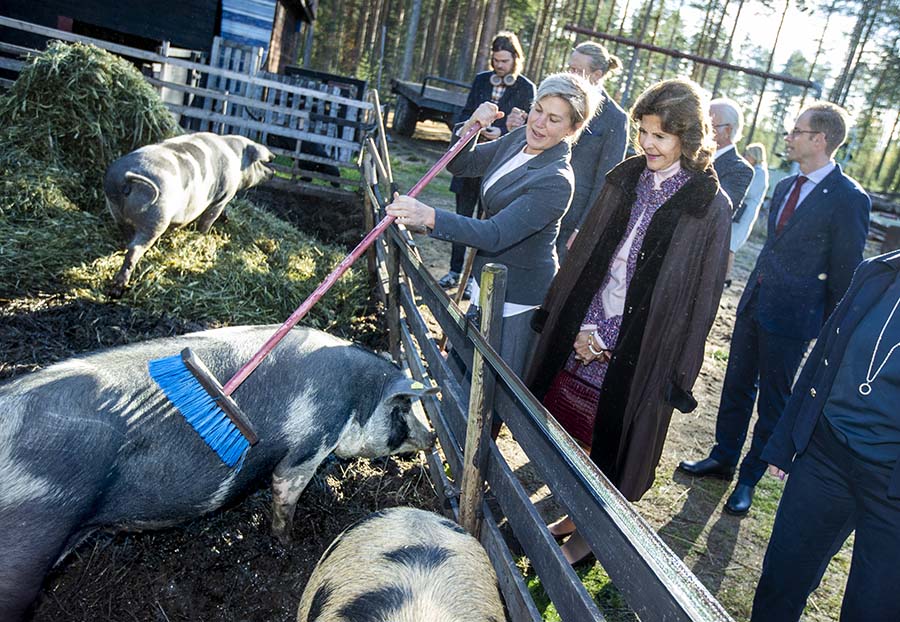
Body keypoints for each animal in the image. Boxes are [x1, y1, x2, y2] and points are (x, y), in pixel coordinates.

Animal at [0, 330, 438, 620]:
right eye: (404, 408)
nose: (433, 436)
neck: (356, 399)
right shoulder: (307, 448)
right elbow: (286, 494)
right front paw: (287, 544)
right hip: (26, 545)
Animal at [101, 133, 274, 298]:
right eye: (258, 160)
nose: (273, 168)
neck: (235, 156)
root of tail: (126, 177)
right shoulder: (222, 197)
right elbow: (208, 219)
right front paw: (203, 235)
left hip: (116, 211)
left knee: (127, 237)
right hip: (155, 218)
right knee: (134, 249)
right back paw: (117, 290)